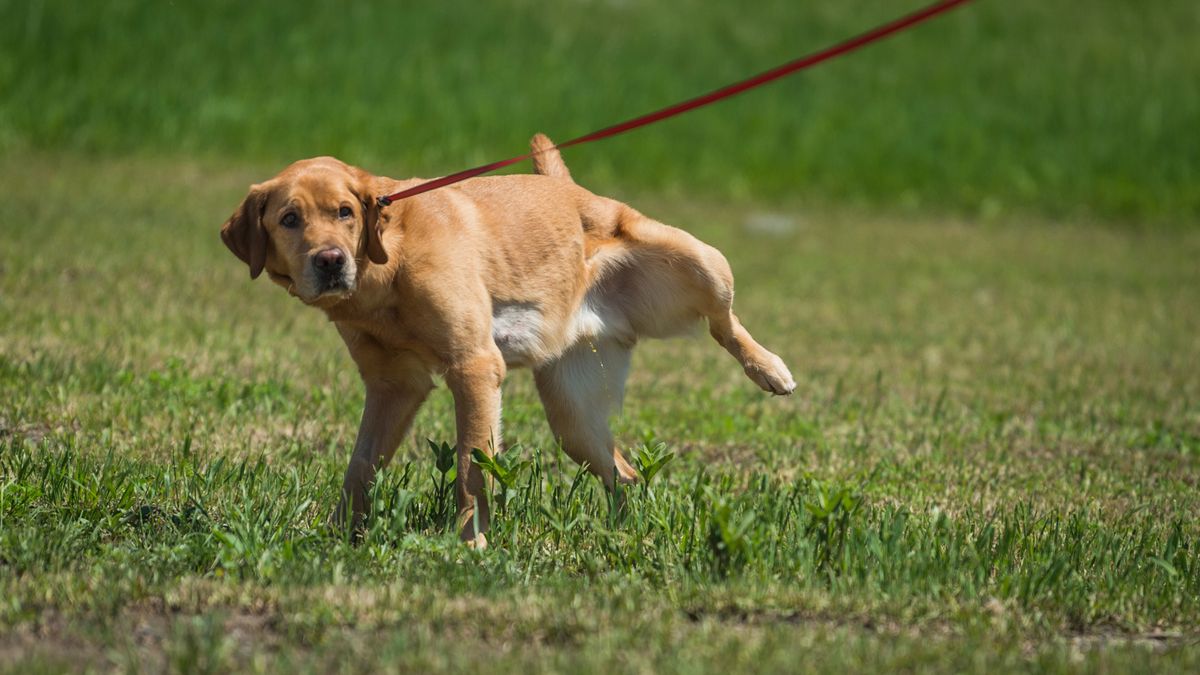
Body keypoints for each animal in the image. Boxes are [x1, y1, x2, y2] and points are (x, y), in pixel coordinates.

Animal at [219, 133, 792, 542]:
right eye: (289, 219)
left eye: (345, 212)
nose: (330, 261)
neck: (385, 271)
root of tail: (568, 189)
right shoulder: (393, 386)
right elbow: (360, 466)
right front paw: (337, 537)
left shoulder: (474, 368)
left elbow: (472, 467)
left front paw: (469, 546)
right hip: (573, 419)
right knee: (623, 473)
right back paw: (625, 531)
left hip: (702, 260)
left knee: (723, 321)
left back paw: (770, 369)